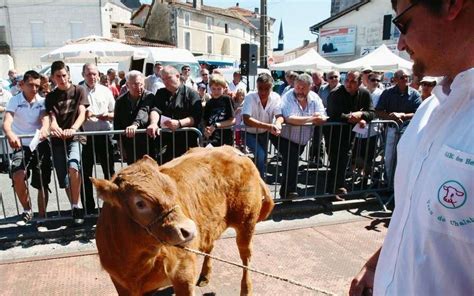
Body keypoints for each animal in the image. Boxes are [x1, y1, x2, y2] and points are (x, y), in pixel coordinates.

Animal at [92, 146, 274, 296]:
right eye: (140, 203)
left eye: (173, 189)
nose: (190, 230)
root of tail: (236, 152)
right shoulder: (120, 283)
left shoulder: (184, 274)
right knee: (210, 244)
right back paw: (205, 275)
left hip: (246, 222)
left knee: (246, 257)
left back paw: (246, 289)